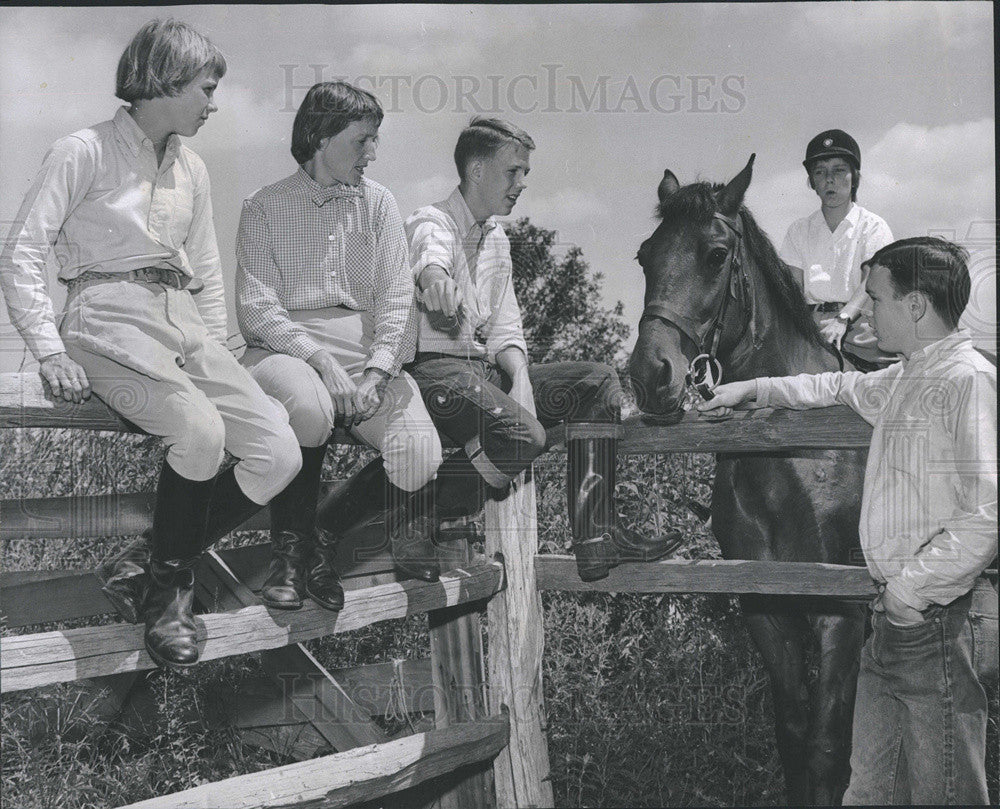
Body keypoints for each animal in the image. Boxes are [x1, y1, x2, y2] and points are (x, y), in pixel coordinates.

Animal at [628, 155, 872, 804]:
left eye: (716, 255)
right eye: (645, 256)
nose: (649, 375)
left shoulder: (843, 616)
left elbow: (827, 749)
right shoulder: (767, 611)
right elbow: (794, 737)